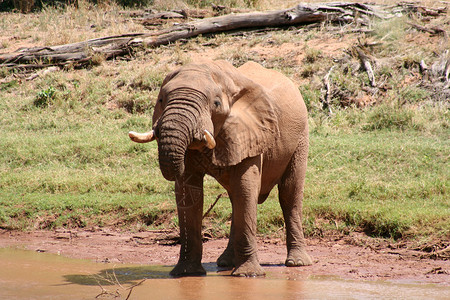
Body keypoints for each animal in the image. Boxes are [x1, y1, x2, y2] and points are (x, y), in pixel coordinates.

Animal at [128, 59, 312, 276]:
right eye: (161, 100)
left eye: (215, 104)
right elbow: (189, 193)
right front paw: (186, 274)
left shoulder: (251, 131)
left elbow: (246, 188)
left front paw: (248, 275)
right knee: (235, 198)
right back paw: (225, 262)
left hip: (301, 136)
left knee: (289, 193)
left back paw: (297, 263)